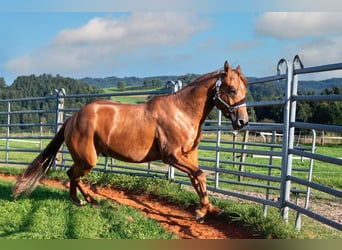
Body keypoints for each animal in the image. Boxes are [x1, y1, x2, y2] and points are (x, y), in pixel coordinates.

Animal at [13, 59, 248, 222]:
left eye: (244, 89)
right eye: (232, 89)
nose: (242, 121)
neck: (182, 111)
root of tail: (72, 118)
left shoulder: (190, 155)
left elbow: (198, 179)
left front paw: (208, 209)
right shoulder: (172, 156)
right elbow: (199, 176)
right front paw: (202, 211)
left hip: (86, 159)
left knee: (72, 174)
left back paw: (84, 200)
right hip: (88, 159)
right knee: (72, 174)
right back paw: (87, 200)